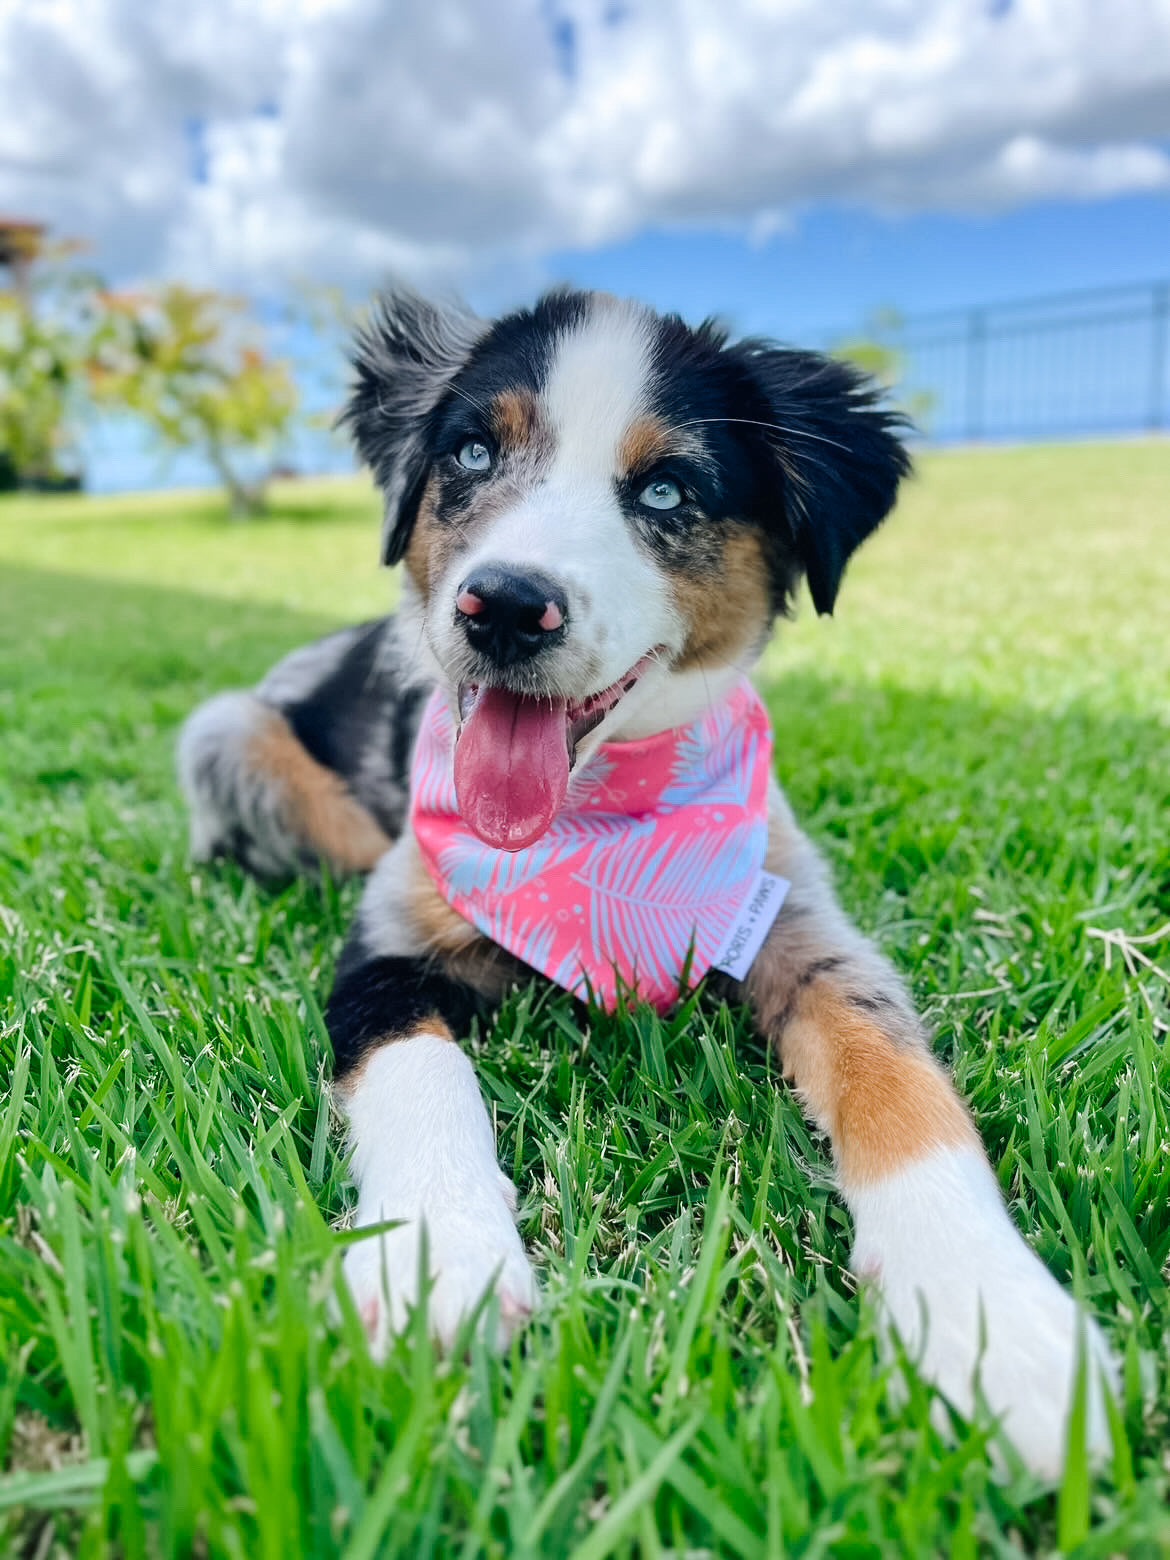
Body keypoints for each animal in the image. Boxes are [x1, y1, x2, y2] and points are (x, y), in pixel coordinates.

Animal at [176, 290, 1116, 1472]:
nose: (504, 607)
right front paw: (438, 1259)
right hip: (229, 733)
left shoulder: (805, 925)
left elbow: (901, 1077)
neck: (591, 828)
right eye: (471, 452)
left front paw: (994, 1319)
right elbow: (421, 1074)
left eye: (667, 490)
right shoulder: (386, 942)